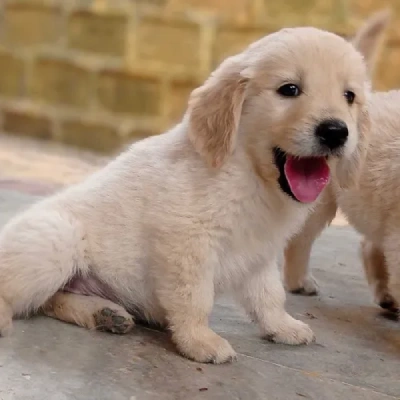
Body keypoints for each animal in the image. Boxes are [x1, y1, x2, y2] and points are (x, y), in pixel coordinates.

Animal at [0, 24, 376, 362]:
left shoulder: (260, 253)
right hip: (55, 242)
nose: (335, 132)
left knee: (51, 299)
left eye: (349, 96)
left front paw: (283, 327)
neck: (247, 173)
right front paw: (200, 342)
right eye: (290, 89)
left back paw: (105, 314)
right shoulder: (186, 242)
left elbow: (269, 295)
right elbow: (195, 298)